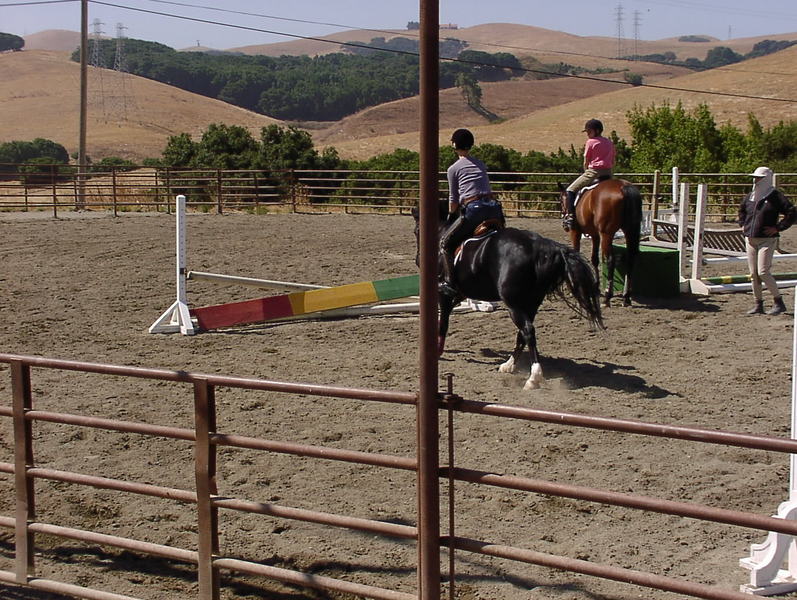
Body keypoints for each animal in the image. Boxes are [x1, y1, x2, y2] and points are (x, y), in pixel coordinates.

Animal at [412, 203, 604, 390]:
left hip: (514, 305)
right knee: (523, 333)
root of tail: (543, 247)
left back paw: (533, 377)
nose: (418, 260)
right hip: (530, 303)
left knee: (527, 330)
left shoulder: (443, 294)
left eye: (416, 230)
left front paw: (436, 352)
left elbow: (443, 323)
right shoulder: (460, 293)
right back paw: (509, 365)